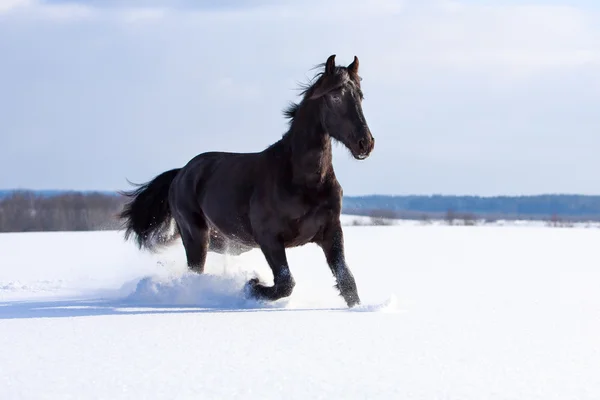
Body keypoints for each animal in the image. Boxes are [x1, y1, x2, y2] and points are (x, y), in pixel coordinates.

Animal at [118, 54, 376, 308]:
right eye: (335, 96)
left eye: (360, 96)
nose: (365, 143)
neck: (304, 182)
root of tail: (181, 172)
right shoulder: (268, 238)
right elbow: (285, 282)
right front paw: (252, 286)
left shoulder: (331, 232)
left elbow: (347, 281)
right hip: (195, 234)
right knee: (194, 268)